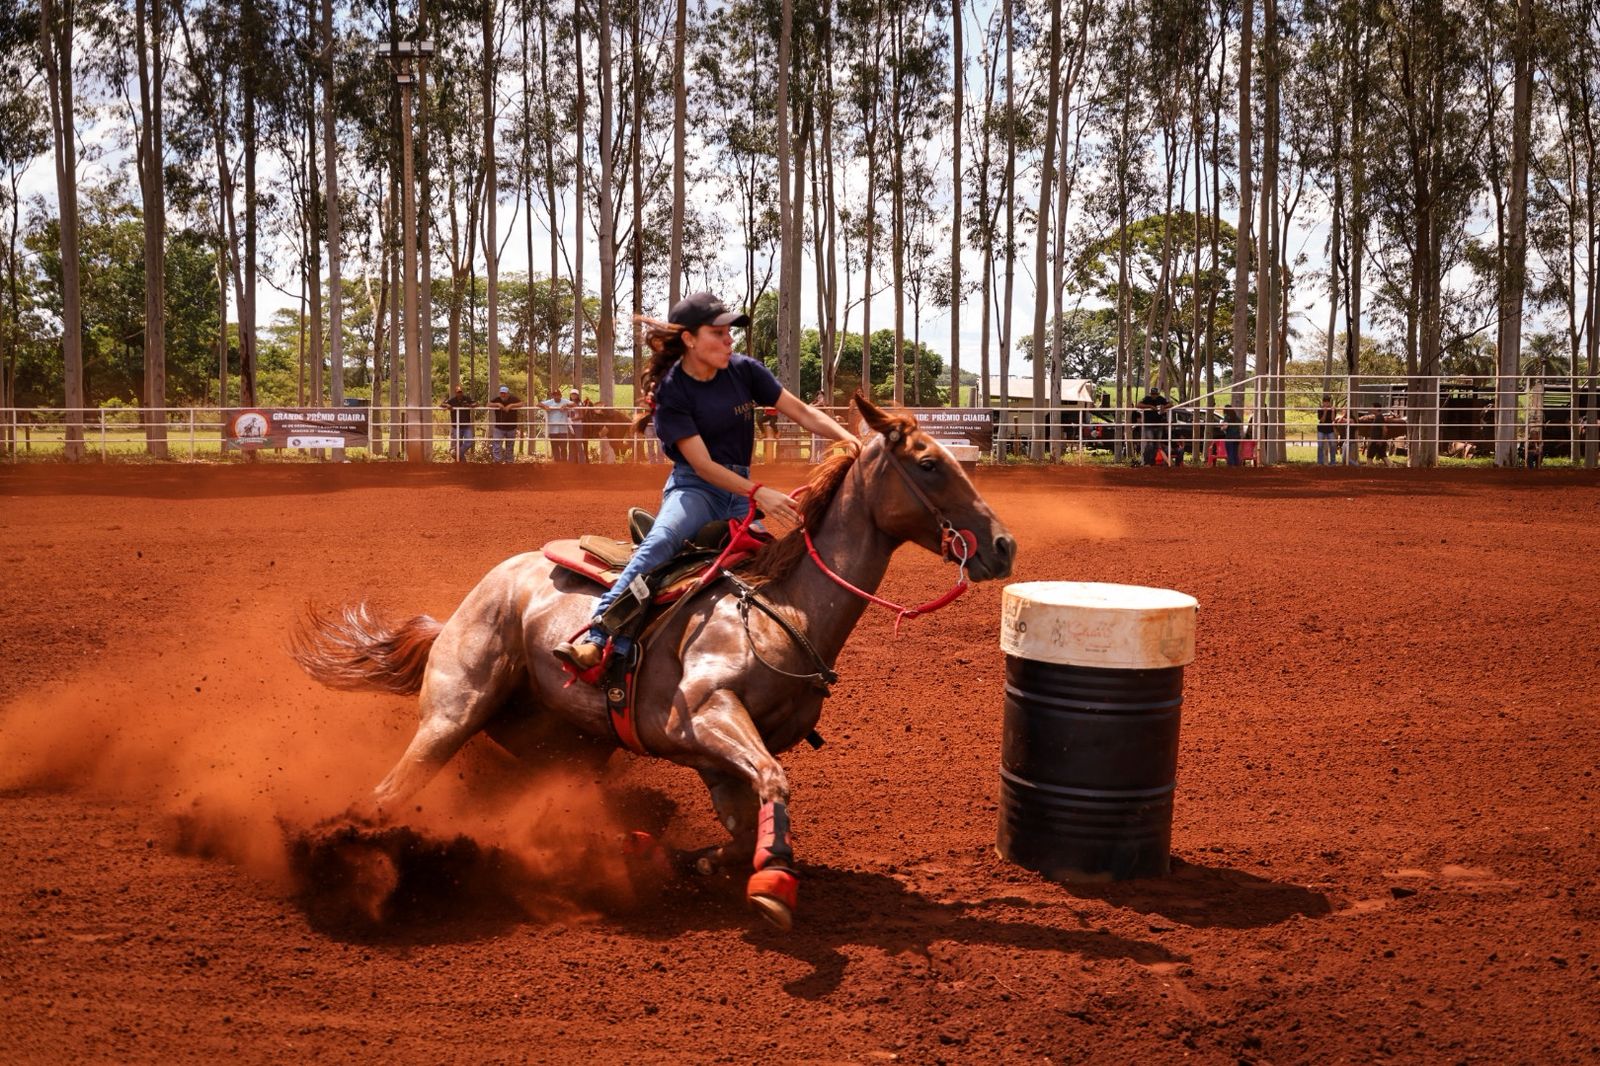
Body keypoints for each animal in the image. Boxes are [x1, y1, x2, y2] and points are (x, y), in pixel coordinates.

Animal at [291, 395, 1017, 930]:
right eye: (928, 462)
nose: (1004, 545)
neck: (784, 607)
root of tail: (474, 599)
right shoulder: (706, 714)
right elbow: (775, 780)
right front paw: (774, 884)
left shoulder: (717, 761)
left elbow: (742, 825)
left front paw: (681, 858)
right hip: (453, 714)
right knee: (390, 793)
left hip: (562, 746)